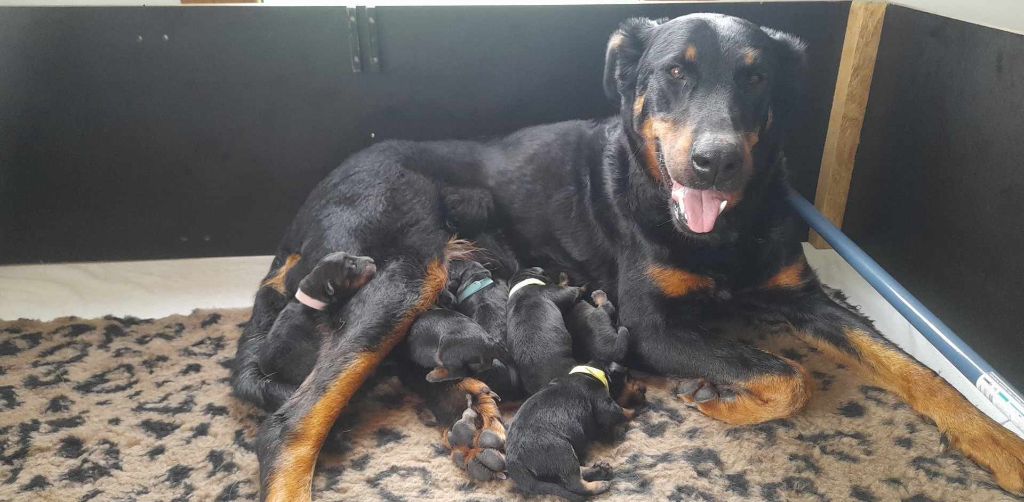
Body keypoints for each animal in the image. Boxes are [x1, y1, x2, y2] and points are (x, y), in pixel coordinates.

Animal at [505, 303, 643, 499]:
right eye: (628, 377)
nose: (644, 389)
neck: (591, 371)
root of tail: (514, 462)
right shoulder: (603, 402)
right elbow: (618, 411)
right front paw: (634, 411)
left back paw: (599, 469)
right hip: (561, 451)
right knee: (573, 482)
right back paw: (599, 484)